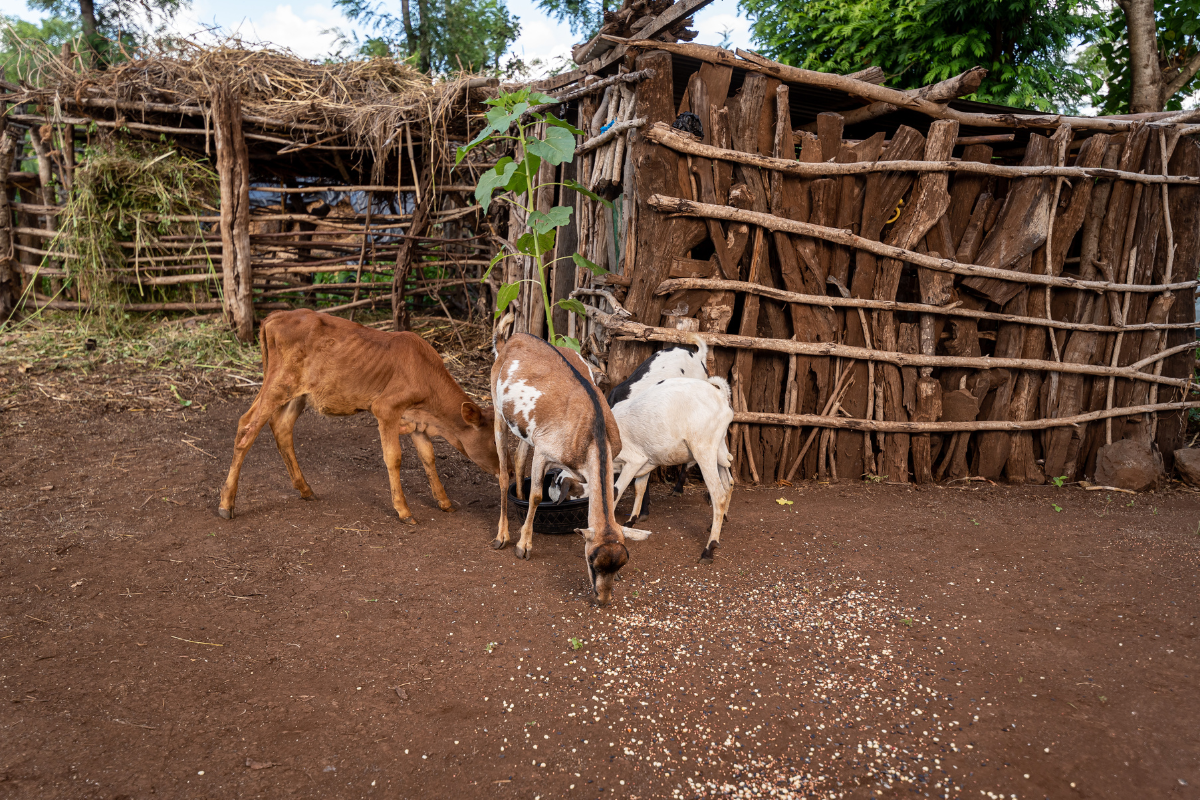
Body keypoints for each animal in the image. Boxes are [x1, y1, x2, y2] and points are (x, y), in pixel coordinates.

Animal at [218, 309, 499, 525]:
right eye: (495, 443)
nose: (502, 472)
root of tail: (277, 315)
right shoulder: (386, 408)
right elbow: (394, 458)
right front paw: (404, 511)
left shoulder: (417, 420)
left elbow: (428, 457)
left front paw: (444, 501)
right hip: (279, 384)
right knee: (247, 425)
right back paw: (226, 503)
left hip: (298, 393)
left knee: (281, 426)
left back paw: (305, 489)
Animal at [489, 333, 648, 606]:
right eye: (592, 562)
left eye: (621, 564)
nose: (602, 599)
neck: (592, 431)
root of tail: (515, 338)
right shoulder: (543, 451)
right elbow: (537, 495)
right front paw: (523, 546)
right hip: (498, 410)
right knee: (502, 473)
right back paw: (502, 536)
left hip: (525, 428)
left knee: (519, 458)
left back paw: (517, 496)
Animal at [614, 376, 734, 563]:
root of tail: (719, 395)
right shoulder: (645, 460)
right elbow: (639, 488)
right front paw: (632, 520)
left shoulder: (633, 461)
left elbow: (616, 492)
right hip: (719, 450)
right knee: (728, 482)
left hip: (703, 451)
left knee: (718, 495)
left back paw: (709, 548)